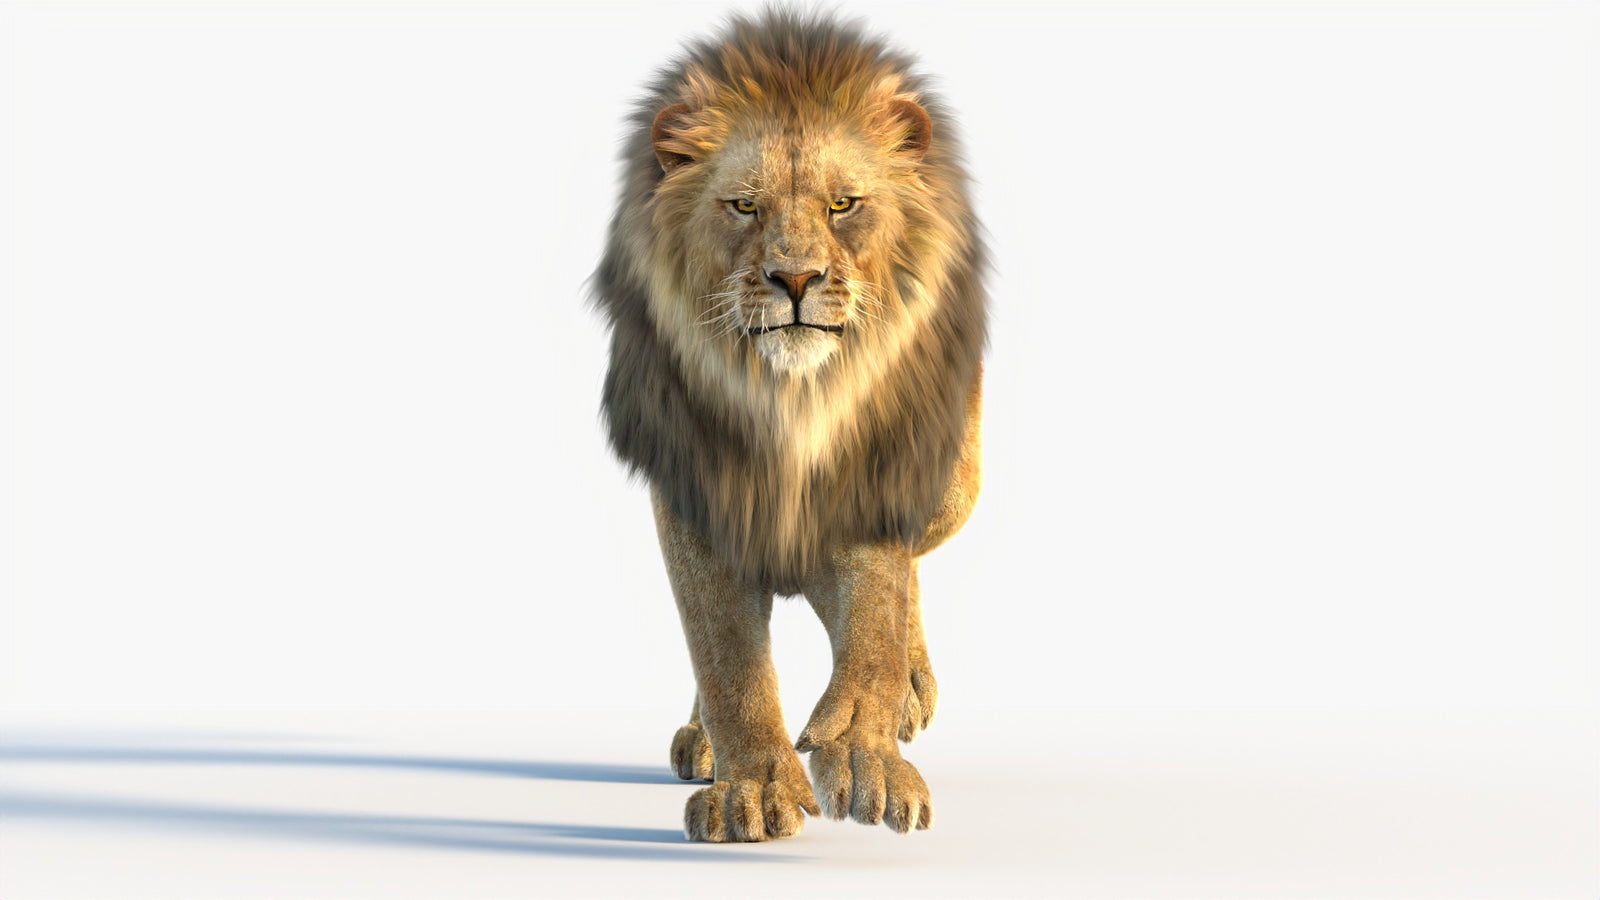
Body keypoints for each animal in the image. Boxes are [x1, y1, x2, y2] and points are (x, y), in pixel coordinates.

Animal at [592, 10, 986, 842]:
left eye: (843, 205)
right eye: (745, 207)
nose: (796, 278)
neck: (788, 401)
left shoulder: (879, 474)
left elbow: (874, 622)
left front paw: (869, 759)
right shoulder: (696, 498)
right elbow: (727, 658)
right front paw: (753, 791)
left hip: (957, 483)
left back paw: (910, 688)